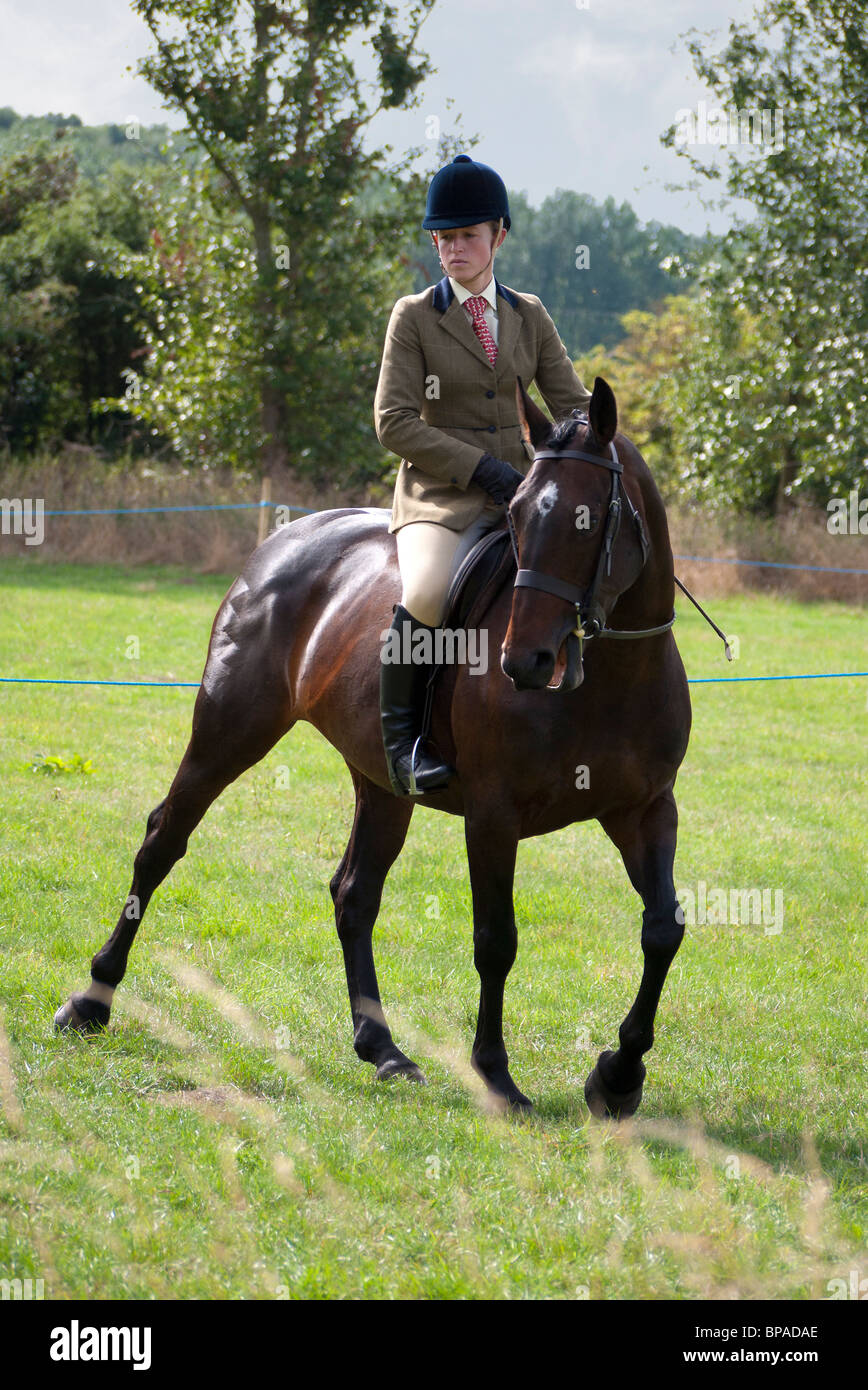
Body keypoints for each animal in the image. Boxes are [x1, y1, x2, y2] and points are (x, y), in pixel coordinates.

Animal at [54, 372, 692, 1117]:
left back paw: (383, 1049)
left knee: (354, 893)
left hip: (383, 783)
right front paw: (496, 1076)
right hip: (228, 731)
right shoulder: (493, 814)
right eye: (516, 514)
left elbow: (663, 929)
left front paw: (618, 1076)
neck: (611, 675)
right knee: (163, 842)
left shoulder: (645, 811)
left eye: (588, 520)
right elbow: (495, 940)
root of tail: (289, 536)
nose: (526, 662)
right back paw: (91, 1001)